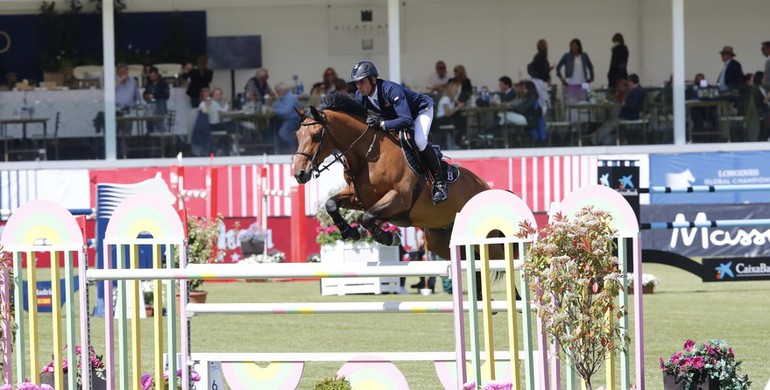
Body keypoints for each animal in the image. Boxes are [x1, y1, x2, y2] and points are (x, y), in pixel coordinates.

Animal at [292, 92, 488, 262]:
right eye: (297, 135)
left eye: (316, 135)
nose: (299, 174)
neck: (368, 154)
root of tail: (484, 185)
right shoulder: (358, 197)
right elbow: (331, 204)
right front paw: (352, 232)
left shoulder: (399, 198)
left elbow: (368, 217)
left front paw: (387, 237)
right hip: (440, 239)